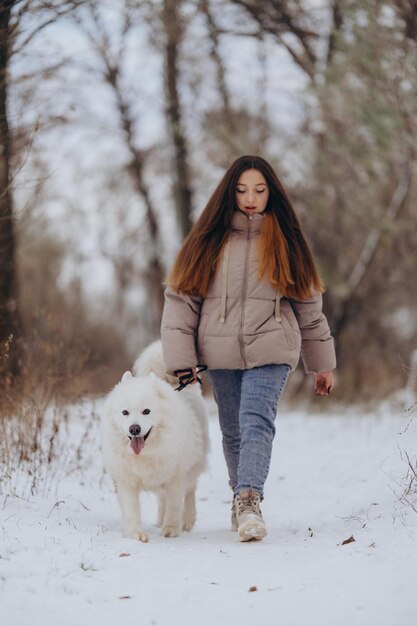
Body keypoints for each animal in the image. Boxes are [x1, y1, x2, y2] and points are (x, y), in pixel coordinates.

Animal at [101, 338, 208, 540]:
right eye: (125, 412)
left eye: (146, 411)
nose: (134, 429)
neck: (146, 454)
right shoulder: (126, 480)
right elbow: (132, 509)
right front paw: (136, 533)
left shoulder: (175, 477)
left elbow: (174, 505)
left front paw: (171, 529)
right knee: (162, 499)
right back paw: (159, 521)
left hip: (193, 465)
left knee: (190, 492)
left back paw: (187, 520)